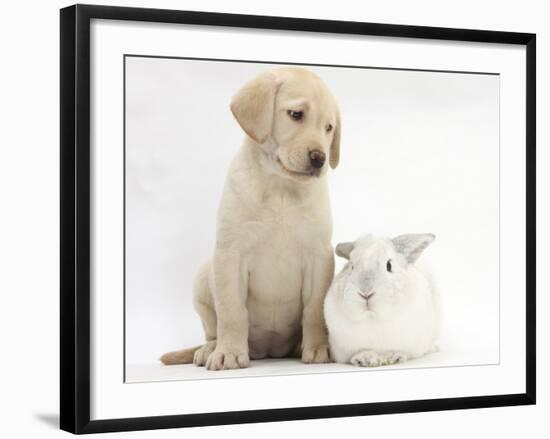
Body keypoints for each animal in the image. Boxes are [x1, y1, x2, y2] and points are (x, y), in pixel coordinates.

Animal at [161, 68, 340, 372]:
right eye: (296, 114)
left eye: (329, 128)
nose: (320, 158)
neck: (281, 188)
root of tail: (269, 351)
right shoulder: (230, 255)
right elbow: (232, 311)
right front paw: (229, 353)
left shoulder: (319, 257)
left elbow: (315, 310)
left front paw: (318, 348)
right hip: (203, 279)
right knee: (213, 329)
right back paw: (210, 349)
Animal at [326, 234, 442, 368]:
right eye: (352, 267)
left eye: (389, 266)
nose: (366, 293)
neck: (373, 319)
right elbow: (362, 351)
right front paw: (365, 359)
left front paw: (393, 357)